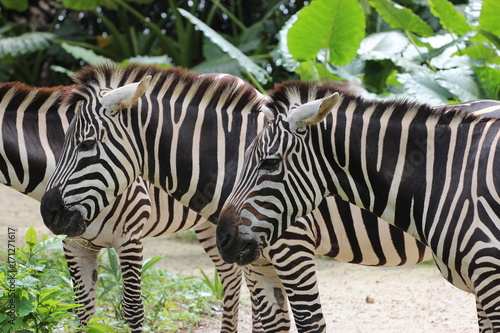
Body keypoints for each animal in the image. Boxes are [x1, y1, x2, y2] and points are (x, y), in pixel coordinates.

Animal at [0, 81, 292, 332]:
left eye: (87, 144)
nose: (50, 214)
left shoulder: (129, 237)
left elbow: (132, 310)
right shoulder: (76, 245)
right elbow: (81, 311)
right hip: (211, 226)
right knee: (233, 279)